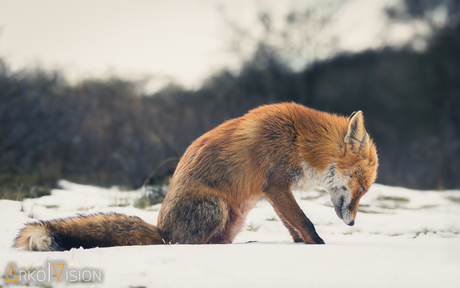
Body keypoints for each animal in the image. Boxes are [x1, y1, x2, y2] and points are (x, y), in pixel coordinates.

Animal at [15, 103, 378, 250]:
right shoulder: (275, 185)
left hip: (234, 218)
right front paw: (319, 247)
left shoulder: (273, 193)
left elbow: (293, 225)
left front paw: (301, 246)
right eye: (361, 188)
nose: (352, 224)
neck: (298, 139)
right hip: (216, 206)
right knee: (185, 243)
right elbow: (304, 221)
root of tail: (161, 230)